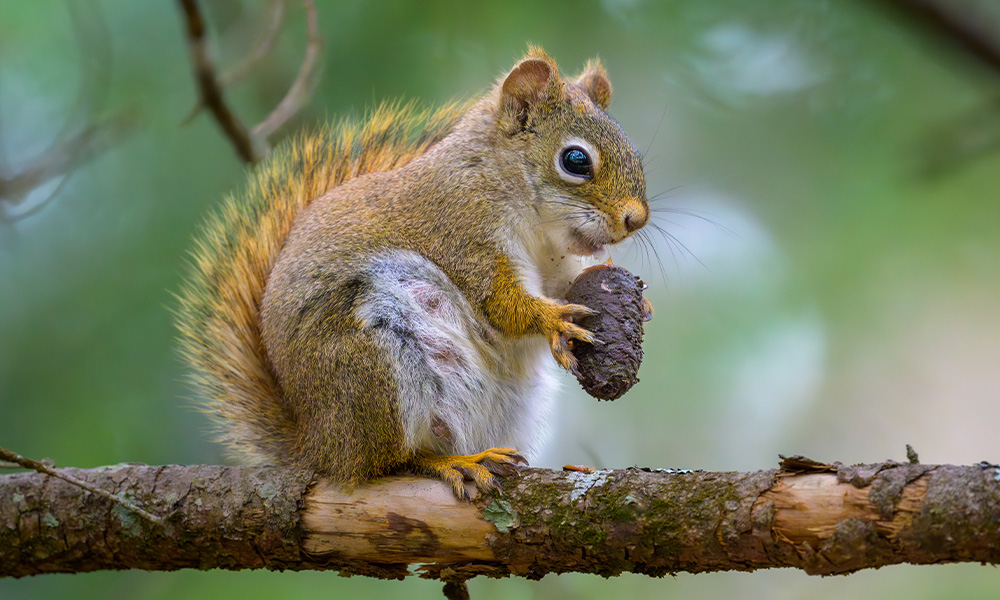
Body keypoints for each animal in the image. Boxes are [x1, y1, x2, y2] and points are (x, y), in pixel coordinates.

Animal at [176, 46, 649, 500]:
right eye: (575, 160)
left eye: (636, 153)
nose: (636, 220)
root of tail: (320, 446)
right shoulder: (461, 232)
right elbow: (499, 303)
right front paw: (554, 319)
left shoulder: (552, 263)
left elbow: (562, 285)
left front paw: (635, 300)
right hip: (374, 364)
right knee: (389, 463)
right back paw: (454, 463)